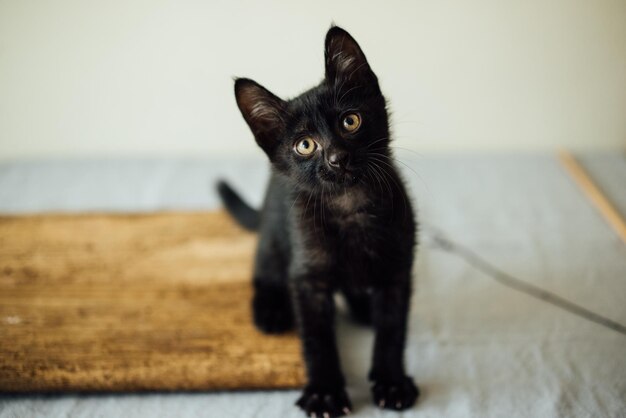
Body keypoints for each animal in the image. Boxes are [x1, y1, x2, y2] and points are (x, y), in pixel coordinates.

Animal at [217, 27, 416, 418]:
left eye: (350, 121)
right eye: (305, 145)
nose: (338, 158)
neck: (349, 205)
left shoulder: (397, 269)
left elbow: (392, 328)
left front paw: (391, 382)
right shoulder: (308, 277)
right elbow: (317, 339)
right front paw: (325, 392)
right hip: (274, 239)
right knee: (264, 272)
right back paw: (271, 310)